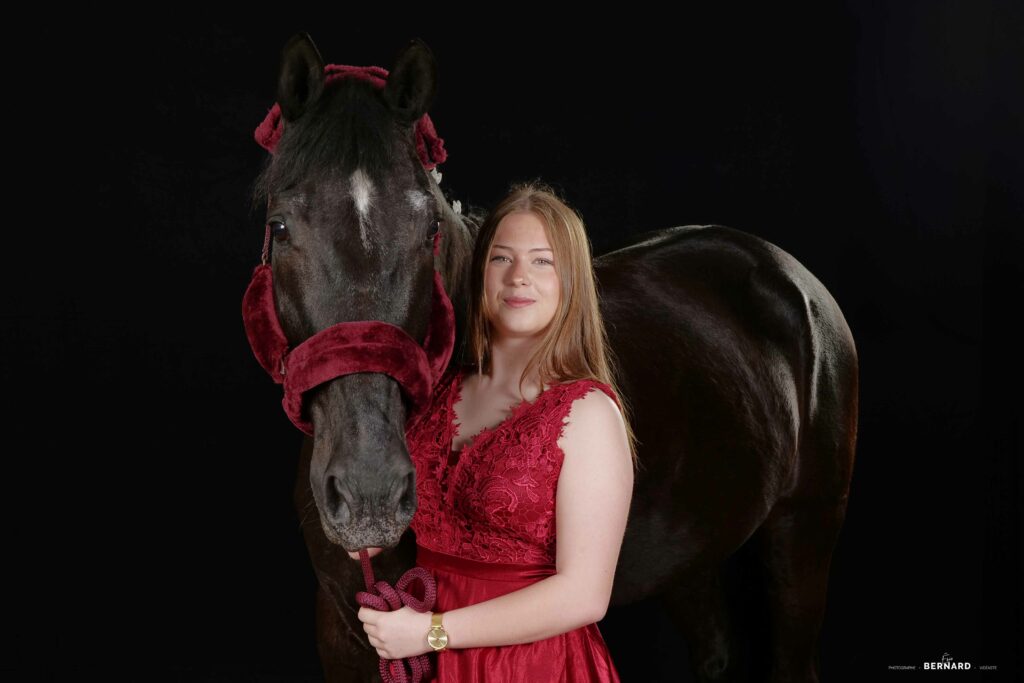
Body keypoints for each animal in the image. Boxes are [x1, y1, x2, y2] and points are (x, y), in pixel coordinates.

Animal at [247, 33, 856, 683]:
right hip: (691, 553)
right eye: (279, 227)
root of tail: (784, 271)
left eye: (429, 227)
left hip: (803, 537)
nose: (370, 494)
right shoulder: (342, 631)